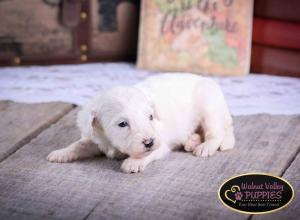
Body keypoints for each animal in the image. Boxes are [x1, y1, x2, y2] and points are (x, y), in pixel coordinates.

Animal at [47, 74, 234, 174]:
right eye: (123, 124)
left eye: (150, 117)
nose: (149, 142)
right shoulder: (95, 139)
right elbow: (79, 145)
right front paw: (61, 153)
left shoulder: (161, 142)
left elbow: (150, 152)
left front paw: (133, 162)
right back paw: (192, 141)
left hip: (210, 108)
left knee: (216, 133)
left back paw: (205, 147)